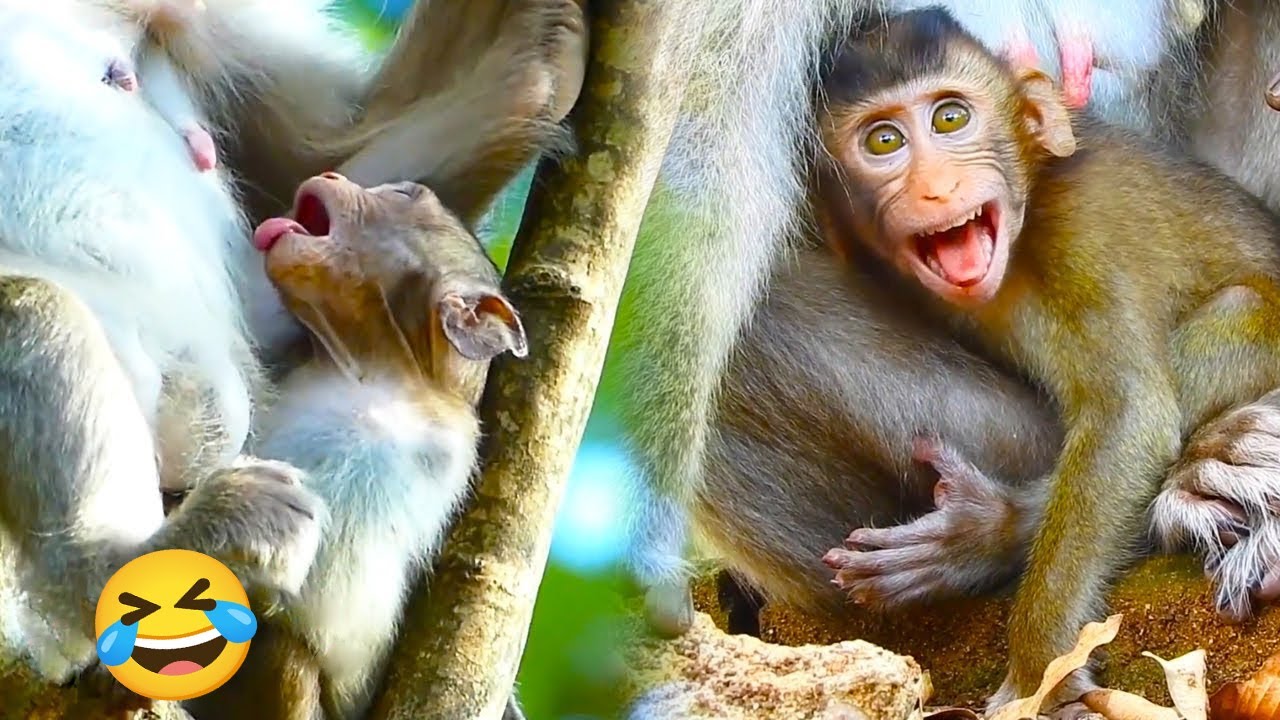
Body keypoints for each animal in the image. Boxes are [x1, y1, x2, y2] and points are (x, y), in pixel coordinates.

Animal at [185, 172, 528, 719]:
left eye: (406, 194)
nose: (331, 176)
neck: (366, 363)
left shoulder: (387, 444)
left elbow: (323, 609)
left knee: (284, 655)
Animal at [813, 7, 1280, 708]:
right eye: (883, 141)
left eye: (950, 119)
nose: (935, 189)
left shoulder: (1080, 232)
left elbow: (1129, 417)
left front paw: (1040, 674)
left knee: (1237, 312)